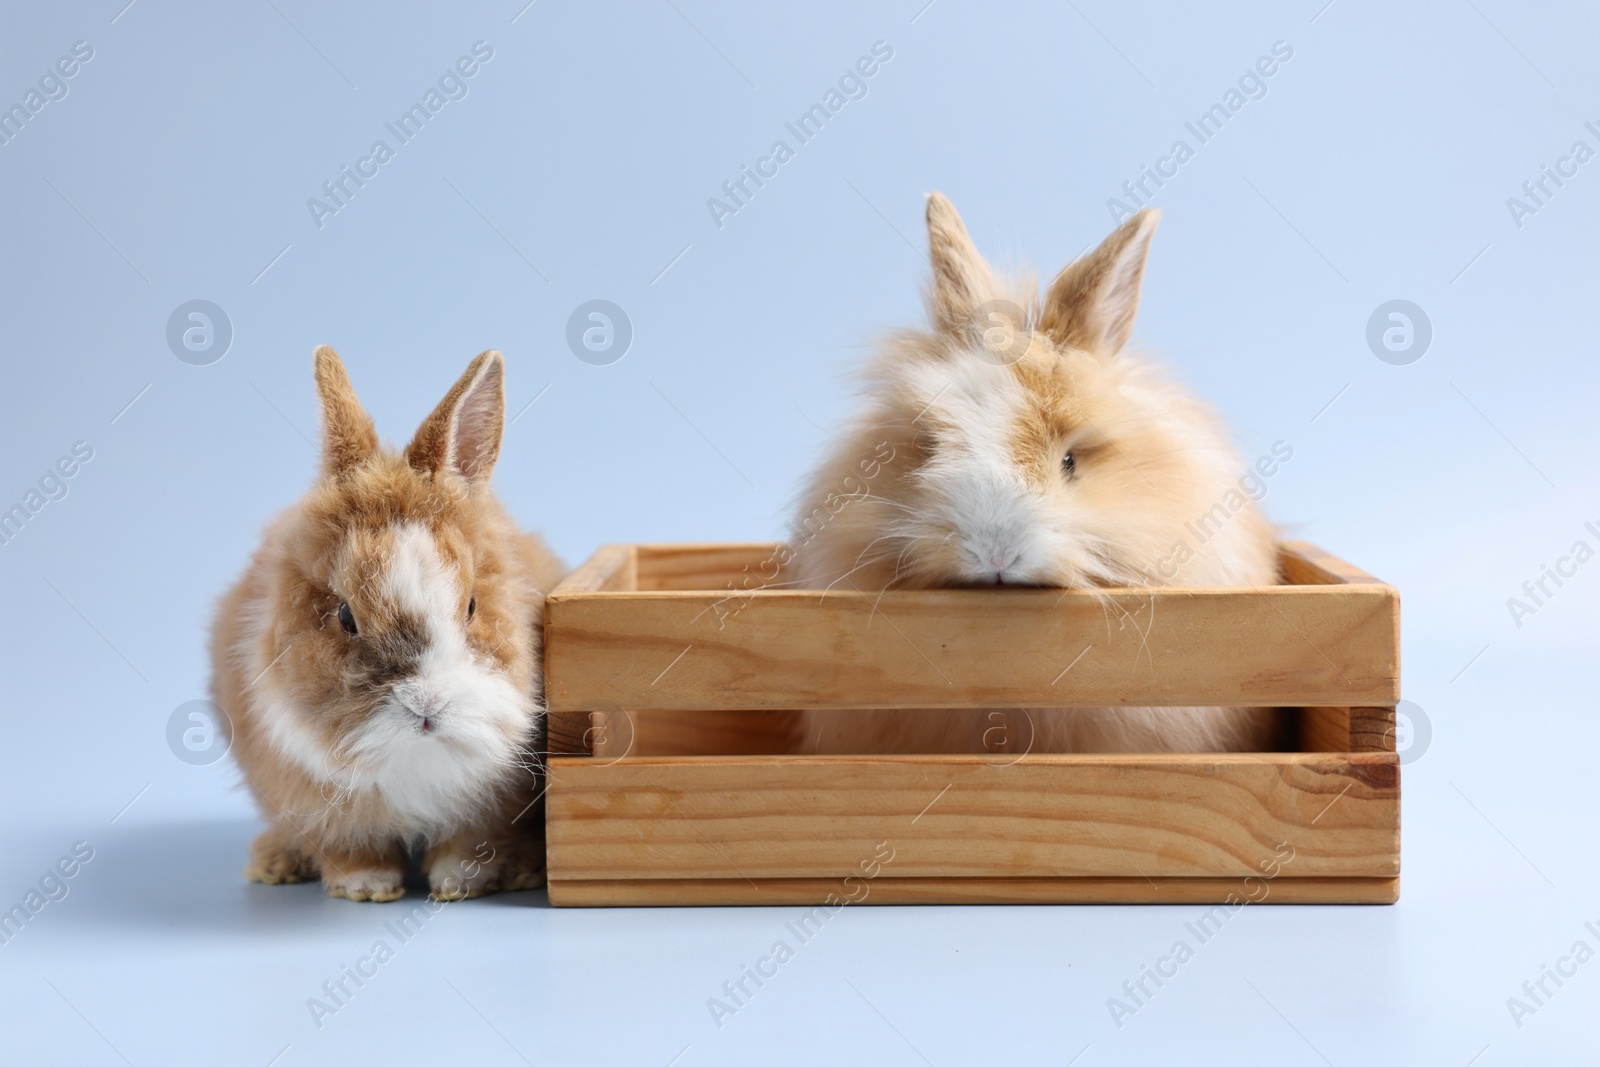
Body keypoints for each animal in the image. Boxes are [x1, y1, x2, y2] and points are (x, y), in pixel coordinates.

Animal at [209, 347, 566, 895]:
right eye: (345, 616)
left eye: (471, 606)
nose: (427, 705)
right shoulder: (317, 805)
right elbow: (351, 848)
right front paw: (369, 887)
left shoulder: (486, 810)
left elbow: (466, 847)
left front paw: (458, 885)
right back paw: (273, 865)